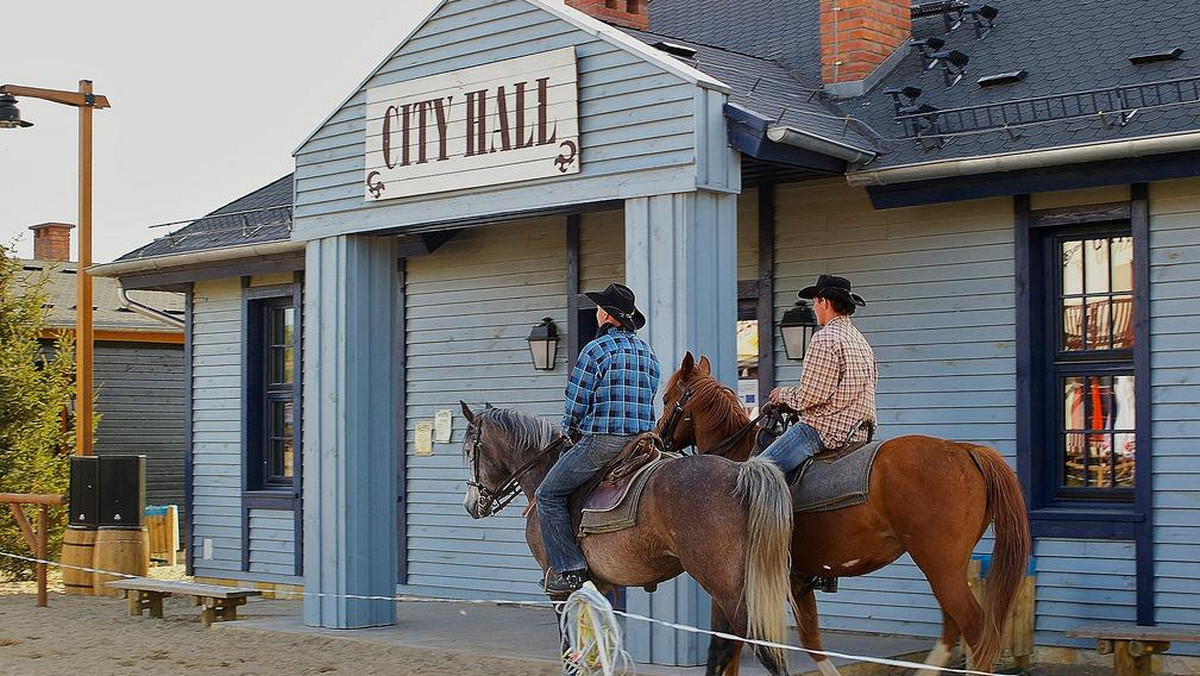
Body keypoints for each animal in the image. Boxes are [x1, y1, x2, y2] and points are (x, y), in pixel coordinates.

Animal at [458, 405, 796, 672]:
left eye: (468, 451)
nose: (471, 504)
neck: (543, 472)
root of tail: (741, 473)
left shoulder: (559, 590)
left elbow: (570, 652)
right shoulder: (595, 586)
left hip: (730, 590)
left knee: (766, 651)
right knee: (724, 650)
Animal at [657, 355, 1032, 676]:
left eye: (666, 398)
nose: (658, 436)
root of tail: (964, 451)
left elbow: (730, 646)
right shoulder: (796, 580)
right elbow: (805, 641)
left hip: (941, 564)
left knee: (974, 628)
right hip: (944, 567)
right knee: (953, 626)